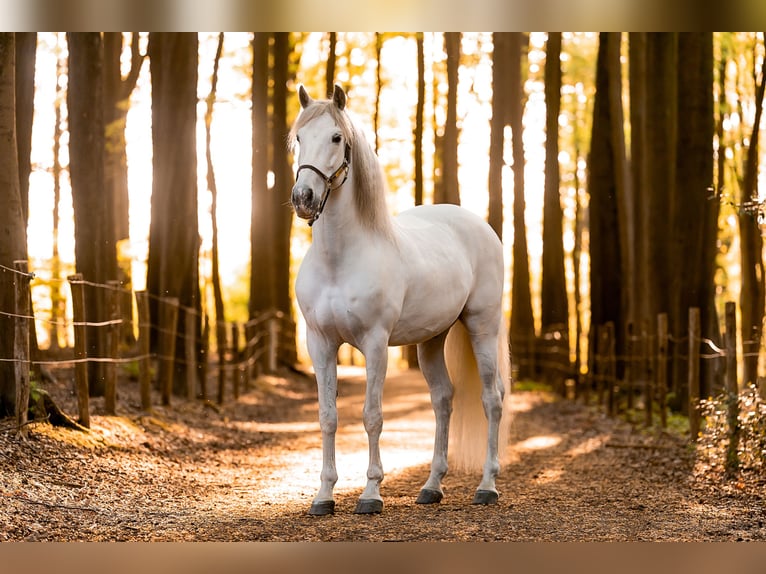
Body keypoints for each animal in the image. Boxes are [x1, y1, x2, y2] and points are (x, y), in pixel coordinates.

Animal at [289, 84, 511, 516]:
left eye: (336, 137)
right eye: (299, 137)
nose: (303, 197)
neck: (339, 260)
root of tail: (480, 226)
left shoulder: (375, 343)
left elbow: (372, 416)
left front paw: (371, 494)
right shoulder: (320, 343)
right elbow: (328, 417)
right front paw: (324, 496)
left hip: (483, 326)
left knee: (492, 400)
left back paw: (486, 487)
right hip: (431, 340)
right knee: (443, 400)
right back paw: (431, 487)